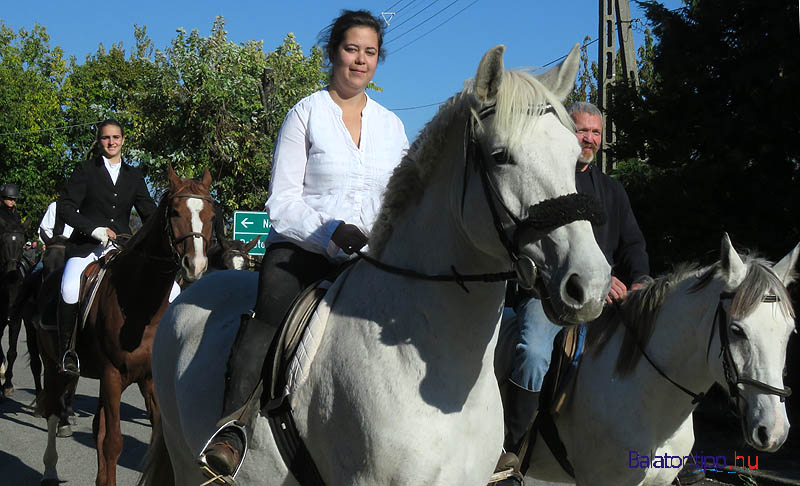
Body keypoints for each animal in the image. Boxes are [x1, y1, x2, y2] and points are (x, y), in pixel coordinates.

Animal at [36, 167, 214, 486]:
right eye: (175, 212)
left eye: (212, 215)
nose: (196, 266)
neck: (139, 306)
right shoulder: (112, 376)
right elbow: (113, 442)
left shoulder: (150, 380)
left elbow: (151, 442)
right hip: (55, 365)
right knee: (54, 413)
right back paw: (50, 470)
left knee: (97, 426)